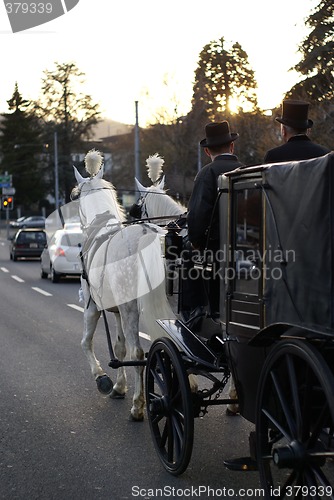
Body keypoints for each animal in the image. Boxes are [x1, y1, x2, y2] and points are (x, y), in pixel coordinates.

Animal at [72, 149, 174, 422]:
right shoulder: (117, 311)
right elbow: (119, 348)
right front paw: (119, 386)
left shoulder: (92, 307)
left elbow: (85, 342)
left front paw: (103, 379)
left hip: (129, 309)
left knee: (139, 353)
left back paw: (139, 406)